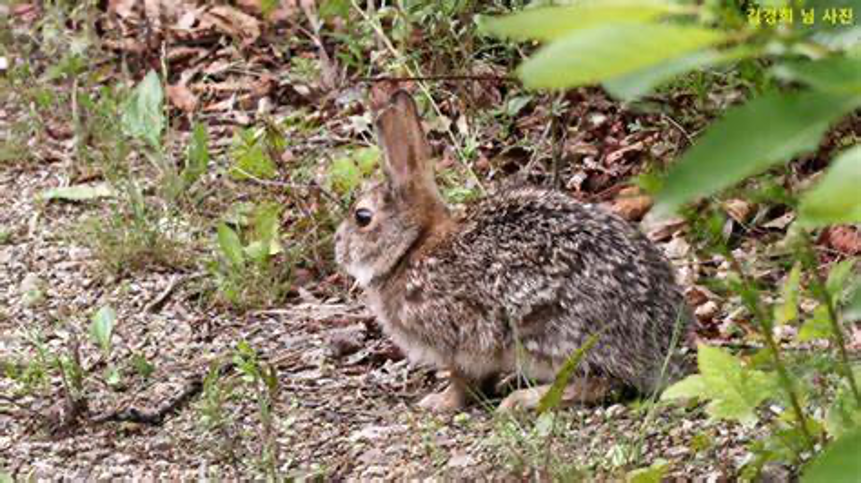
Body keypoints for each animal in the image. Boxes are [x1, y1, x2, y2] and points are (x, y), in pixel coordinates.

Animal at [334, 90, 693, 412]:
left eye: (362, 217)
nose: (337, 246)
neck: (411, 247)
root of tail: (660, 343)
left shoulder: (457, 343)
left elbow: (462, 381)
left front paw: (439, 403)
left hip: (548, 331)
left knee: (600, 382)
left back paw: (522, 400)